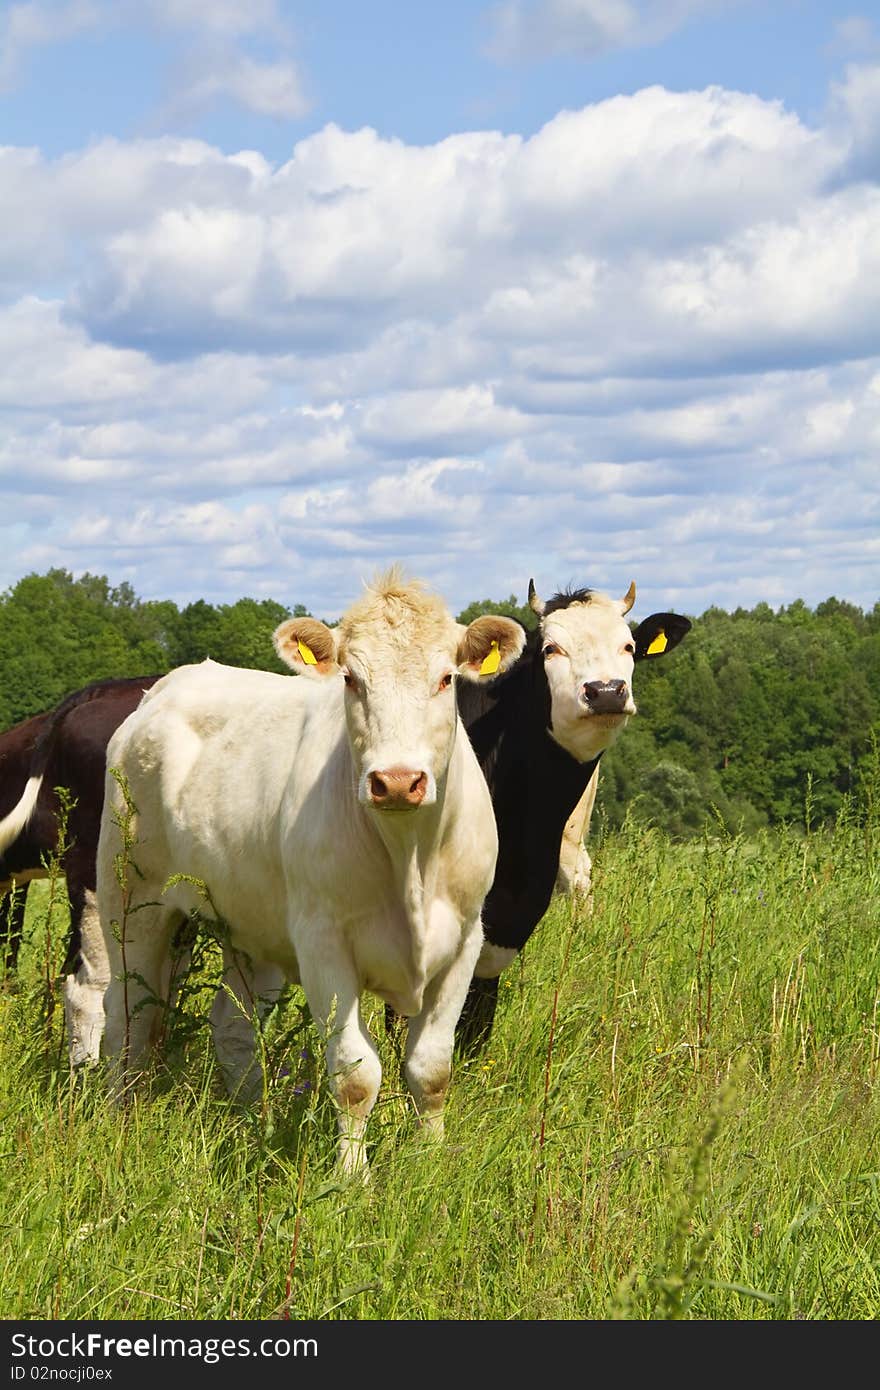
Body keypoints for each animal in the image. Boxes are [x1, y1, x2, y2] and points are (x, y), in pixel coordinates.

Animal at [94, 572, 522, 1173]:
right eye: (351, 678)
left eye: (445, 678)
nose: (396, 780)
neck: (410, 858)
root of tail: (162, 691)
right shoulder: (324, 944)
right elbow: (356, 1074)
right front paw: (351, 1177)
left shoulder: (464, 939)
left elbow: (432, 1068)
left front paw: (431, 1159)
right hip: (131, 902)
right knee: (125, 1017)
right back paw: (120, 1121)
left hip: (244, 924)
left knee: (230, 1027)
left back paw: (255, 1124)